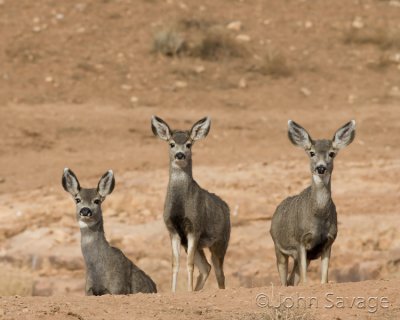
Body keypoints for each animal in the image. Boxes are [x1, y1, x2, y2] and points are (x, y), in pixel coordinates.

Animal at [151, 116, 231, 292]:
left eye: (189, 144)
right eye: (171, 143)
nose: (180, 155)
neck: (180, 208)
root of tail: (226, 207)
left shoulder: (195, 227)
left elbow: (189, 264)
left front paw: (187, 291)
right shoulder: (173, 230)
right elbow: (175, 264)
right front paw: (174, 292)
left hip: (221, 241)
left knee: (219, 271)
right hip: (193, 244)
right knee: (206, 267)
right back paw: (197, 290)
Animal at [268, 120, 356, 284]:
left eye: (331, 153)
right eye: (312, 153)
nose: (321, 167)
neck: (317, 217)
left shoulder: (328, 242)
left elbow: (324, 279)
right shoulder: (300, 240)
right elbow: (304, 281)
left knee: (291, 280)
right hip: (278, 246)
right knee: (284, 281)